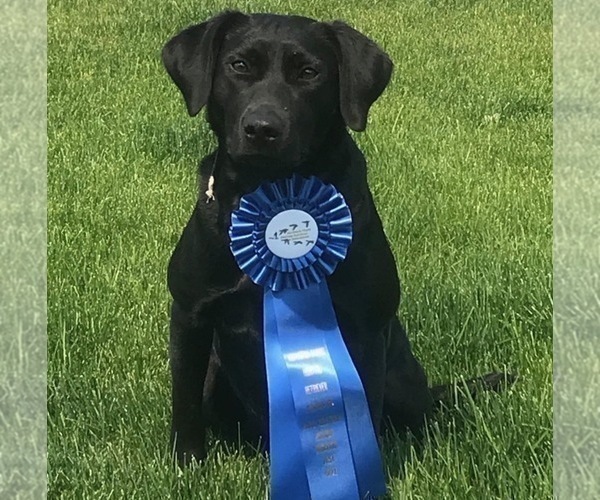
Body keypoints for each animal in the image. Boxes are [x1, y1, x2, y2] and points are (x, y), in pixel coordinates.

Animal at [162, 11, 504, 466]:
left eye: (309, 73)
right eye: (239, 66)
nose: (262, 128)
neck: (271, 191)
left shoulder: (363, 327)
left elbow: (363, 411)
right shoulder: (190, 314)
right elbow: (185, 402)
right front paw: (186, 465)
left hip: (402, 379)